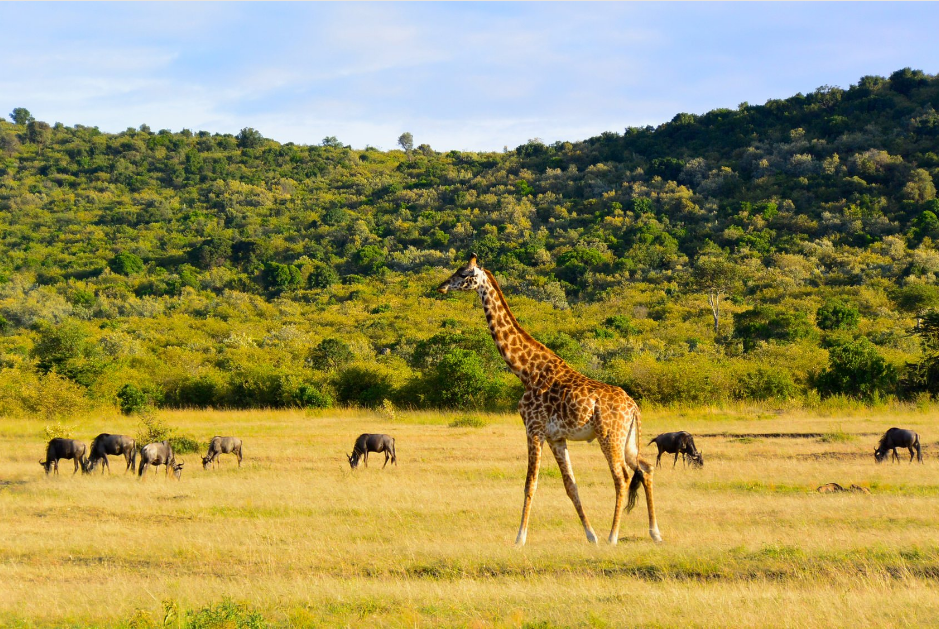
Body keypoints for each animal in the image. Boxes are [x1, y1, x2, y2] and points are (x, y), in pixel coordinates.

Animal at [437, 254, 662, 546]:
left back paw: (613, 535)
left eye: (464, 273)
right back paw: (654, 533)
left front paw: (519, 538)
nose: (442, 287)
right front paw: (590, 535)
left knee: (622, 476)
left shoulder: (533, 429)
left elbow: (530, 483)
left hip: (609, 435)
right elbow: (570, 485)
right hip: (628, 439)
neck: (526, 371)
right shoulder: (557, 437)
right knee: (645, 468)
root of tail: (634, 407)